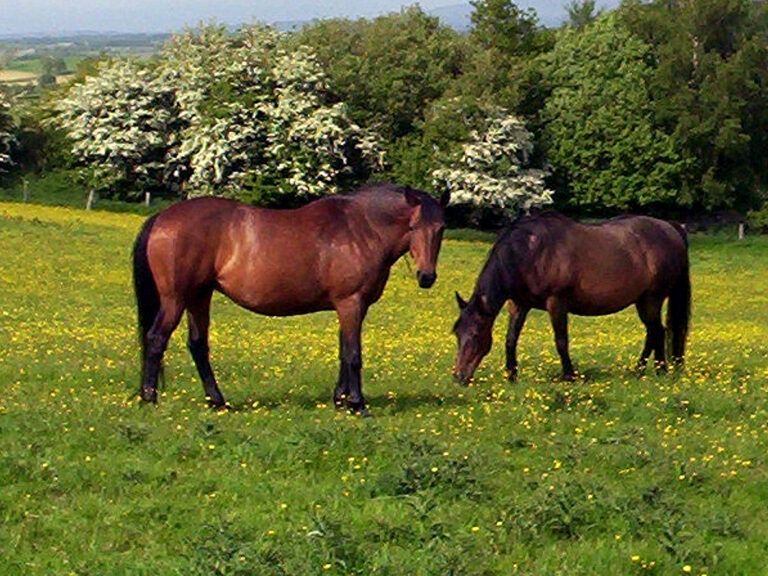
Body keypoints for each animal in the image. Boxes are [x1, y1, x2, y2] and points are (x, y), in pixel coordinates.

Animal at [132, 183, 449, 413]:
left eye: (441, 228)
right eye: (413, 227)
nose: (426, 277)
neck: (361, 229)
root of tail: (162, 218)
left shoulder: (347, 307)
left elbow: (343, 352)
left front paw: (339, 400)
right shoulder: (351, 303)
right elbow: (353, 354)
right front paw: (357, 404)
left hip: (199, 296)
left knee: (198, 345)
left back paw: (217, 402)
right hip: (176, 299)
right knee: (156, 339)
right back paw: (149, 399)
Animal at [452, 211, 691, 385]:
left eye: (475, 335)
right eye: (457, 334)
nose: (458, 377)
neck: (531, 251)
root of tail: (670, 227)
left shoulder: (556, 303)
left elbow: (561, 341)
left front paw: (570, 376)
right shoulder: (519, 304)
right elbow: (511, 340)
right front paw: (512, 376)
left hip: (652, 299)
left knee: (658, 332)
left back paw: (659, 370)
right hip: (643, 301)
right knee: (653, 332)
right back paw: (640, 370)